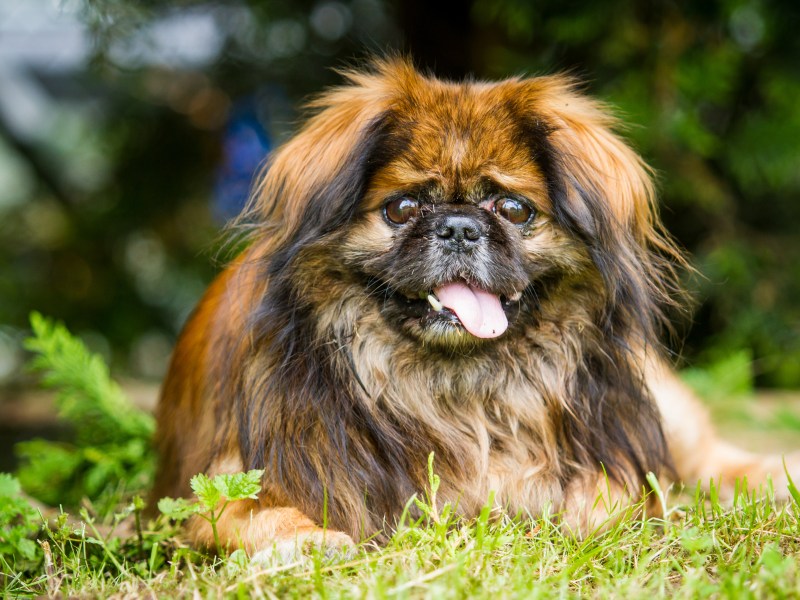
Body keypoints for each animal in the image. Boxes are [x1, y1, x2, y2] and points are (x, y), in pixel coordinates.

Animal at [152, 57, 800, 552]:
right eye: (402, 208)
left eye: (513, 209)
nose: (460, 227)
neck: (459, 390)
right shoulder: (220, 488)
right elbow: (260, 515)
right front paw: (314, 540)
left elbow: (614, 494)